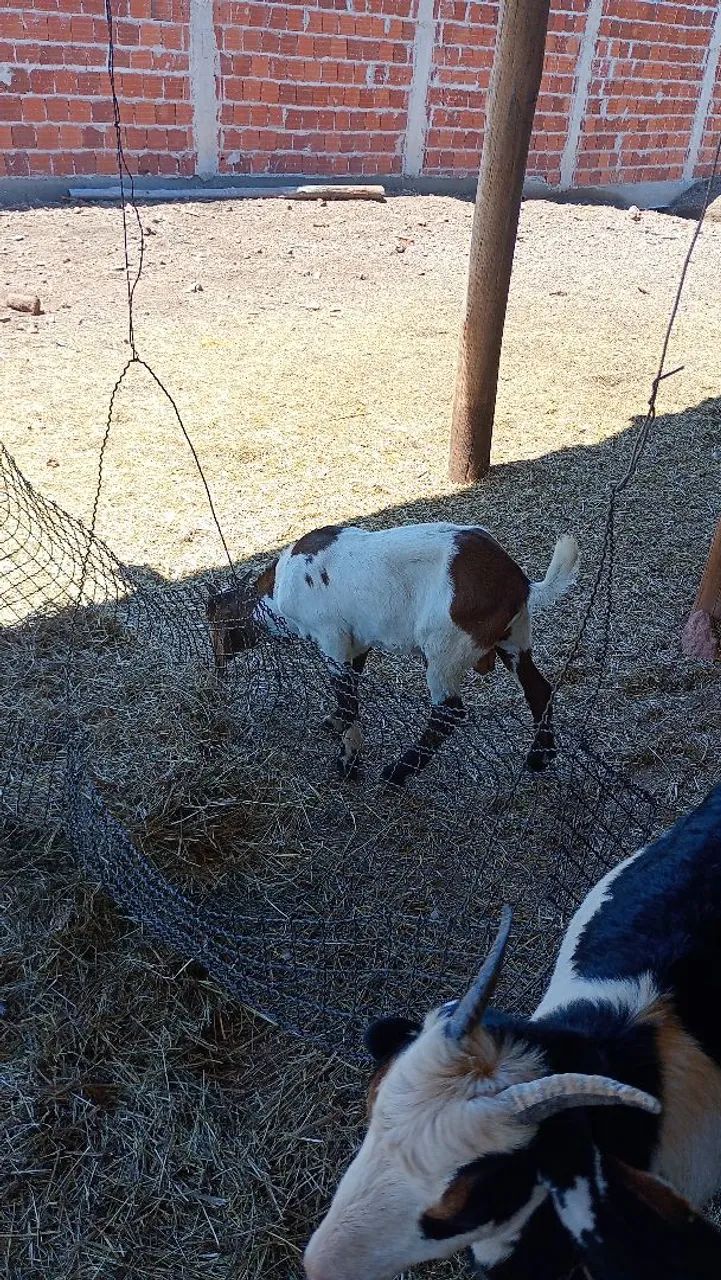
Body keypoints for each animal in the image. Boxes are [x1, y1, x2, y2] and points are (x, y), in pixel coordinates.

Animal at [208, 522, 579, 785]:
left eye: (215, 623)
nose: (217, 667)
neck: (277, 592)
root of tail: (516, 581)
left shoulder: (332, 637)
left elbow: (347, 697)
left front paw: (348, 763)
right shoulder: (358, 639)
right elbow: (351, 689)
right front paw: (335, 723)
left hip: (444, 648)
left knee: (448, 713)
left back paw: (397, 773)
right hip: (513, 638)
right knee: (539, 690)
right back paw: (539, 757)